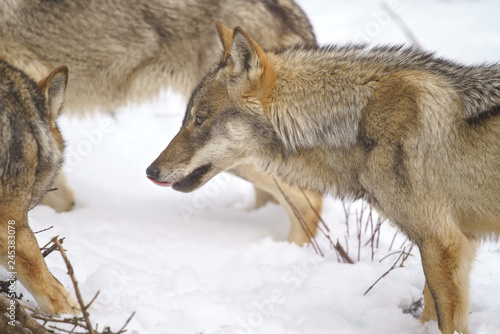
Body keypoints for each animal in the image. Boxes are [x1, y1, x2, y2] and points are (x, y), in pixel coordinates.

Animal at [146, 22, 500, 332]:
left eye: (199, 119)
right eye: (187, 118)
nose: (150, 171)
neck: (358, 118)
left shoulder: (442, 243)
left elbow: (447, 321)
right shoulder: (454, 242)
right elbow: (429, 312)